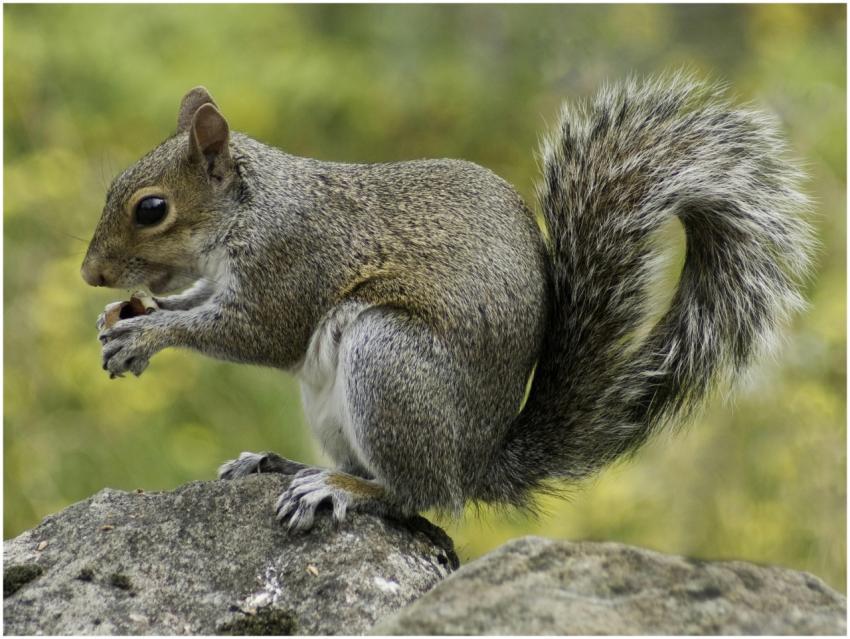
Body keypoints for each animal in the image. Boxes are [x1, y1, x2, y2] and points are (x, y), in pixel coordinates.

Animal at [81, 76, 812, 531]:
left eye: (151, 209)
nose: (91, 274)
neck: (253, 210)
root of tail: (476, 461)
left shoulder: (293, 265)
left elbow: (257, 333)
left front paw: (147, 335)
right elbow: (202, 299)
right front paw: (128, 316)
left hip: (389, 361)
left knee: (417, 496)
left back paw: (340, 488)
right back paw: (285, 464)